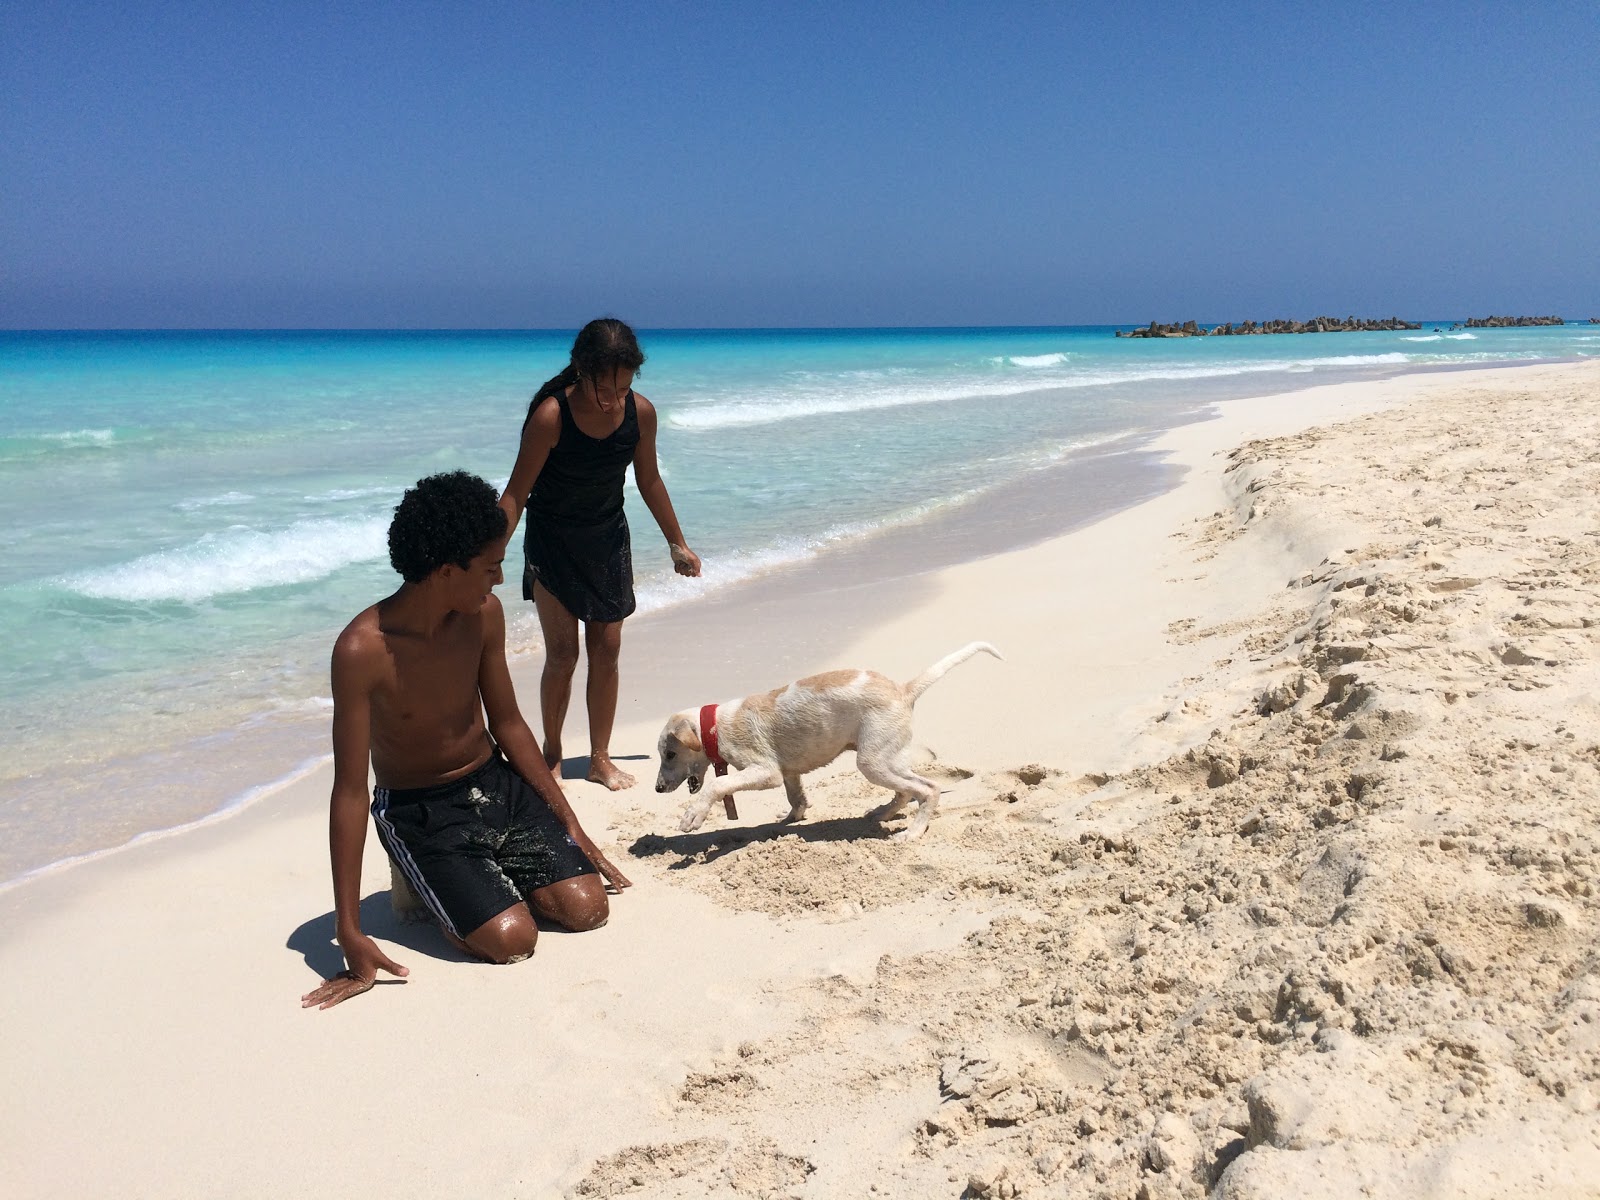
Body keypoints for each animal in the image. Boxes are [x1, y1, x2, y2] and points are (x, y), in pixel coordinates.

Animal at [649, 643, 998, 838]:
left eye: (669, 754)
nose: (657, 789)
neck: (714, 726)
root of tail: (903, 690)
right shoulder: (789, 772)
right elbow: (796, 799)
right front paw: (789, 820)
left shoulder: (766, 771)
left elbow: (718, 784)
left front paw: (693, 816)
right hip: (887, 757)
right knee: (905, 791)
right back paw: (880, 814)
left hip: (873, 760)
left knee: (928, 789)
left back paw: (912, 833)